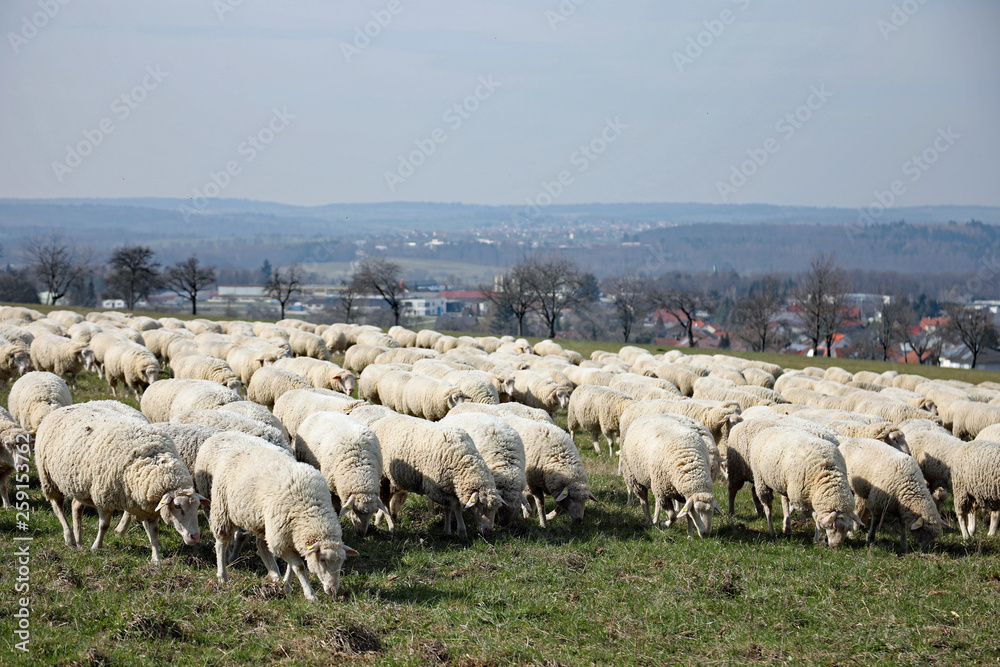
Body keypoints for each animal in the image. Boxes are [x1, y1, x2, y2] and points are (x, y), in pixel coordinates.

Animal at [35, 403, 207, 562]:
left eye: (197, 507)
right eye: (177, 506)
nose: (195, 537)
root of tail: (68, 406)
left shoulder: (146, 507)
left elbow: (153, 532)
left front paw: (156, 559)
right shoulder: (103, 497)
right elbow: (104, 525)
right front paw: (96, 547)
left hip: (81, 484)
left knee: (76, 506)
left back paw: (79, 541)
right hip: (48, 477)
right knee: (57, 506)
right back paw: (69, 537)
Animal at [193, 431, 357, 600]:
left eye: (342, 561)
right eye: (323, 559)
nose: (333, 590)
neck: (310, 507)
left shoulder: (290, 535)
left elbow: (292, 566)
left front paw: (287, 586)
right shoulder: (281, 539)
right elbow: (299, 566)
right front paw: (310, 595)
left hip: (261, 521)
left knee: (262, 547)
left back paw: (274, 575)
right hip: (222, 508)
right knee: (221, 543)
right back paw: (223, 576)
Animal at [370, 413, 502, 537]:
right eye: (482, 504)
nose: (489, 530)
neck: (461, 458)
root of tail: (379, 421)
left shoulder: (447, 488)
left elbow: (448, 508)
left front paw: (447, 530)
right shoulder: (434, 488)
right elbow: (455, 506)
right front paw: (461, 531)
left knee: (388, 498)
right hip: (382, 477)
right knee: (384, 500)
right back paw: (391, 526)